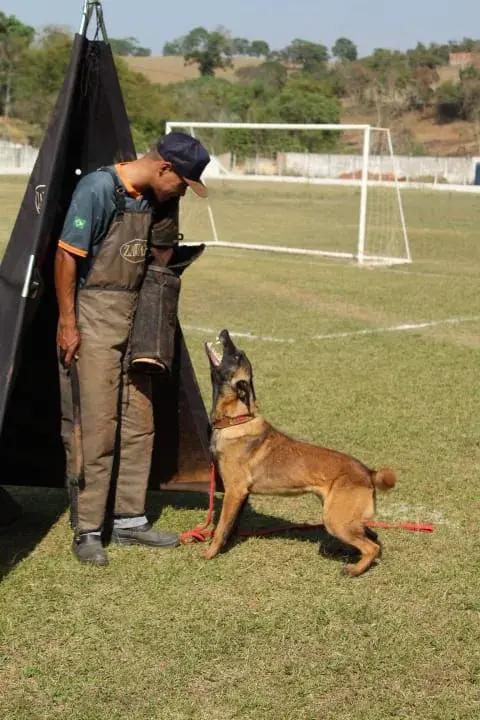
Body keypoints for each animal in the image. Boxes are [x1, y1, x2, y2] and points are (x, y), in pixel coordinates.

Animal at [204, 330, 396, 576]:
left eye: (237, 356)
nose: (225, 332)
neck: (236, 419)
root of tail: (368, 472)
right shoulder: (241, 495)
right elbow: (231, 525)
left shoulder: (234, 492)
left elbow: (220, 529)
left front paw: (209, 553)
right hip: (346, 519)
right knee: (372, 536)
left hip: (335, 521)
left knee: (371, 546)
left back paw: (353, 570)